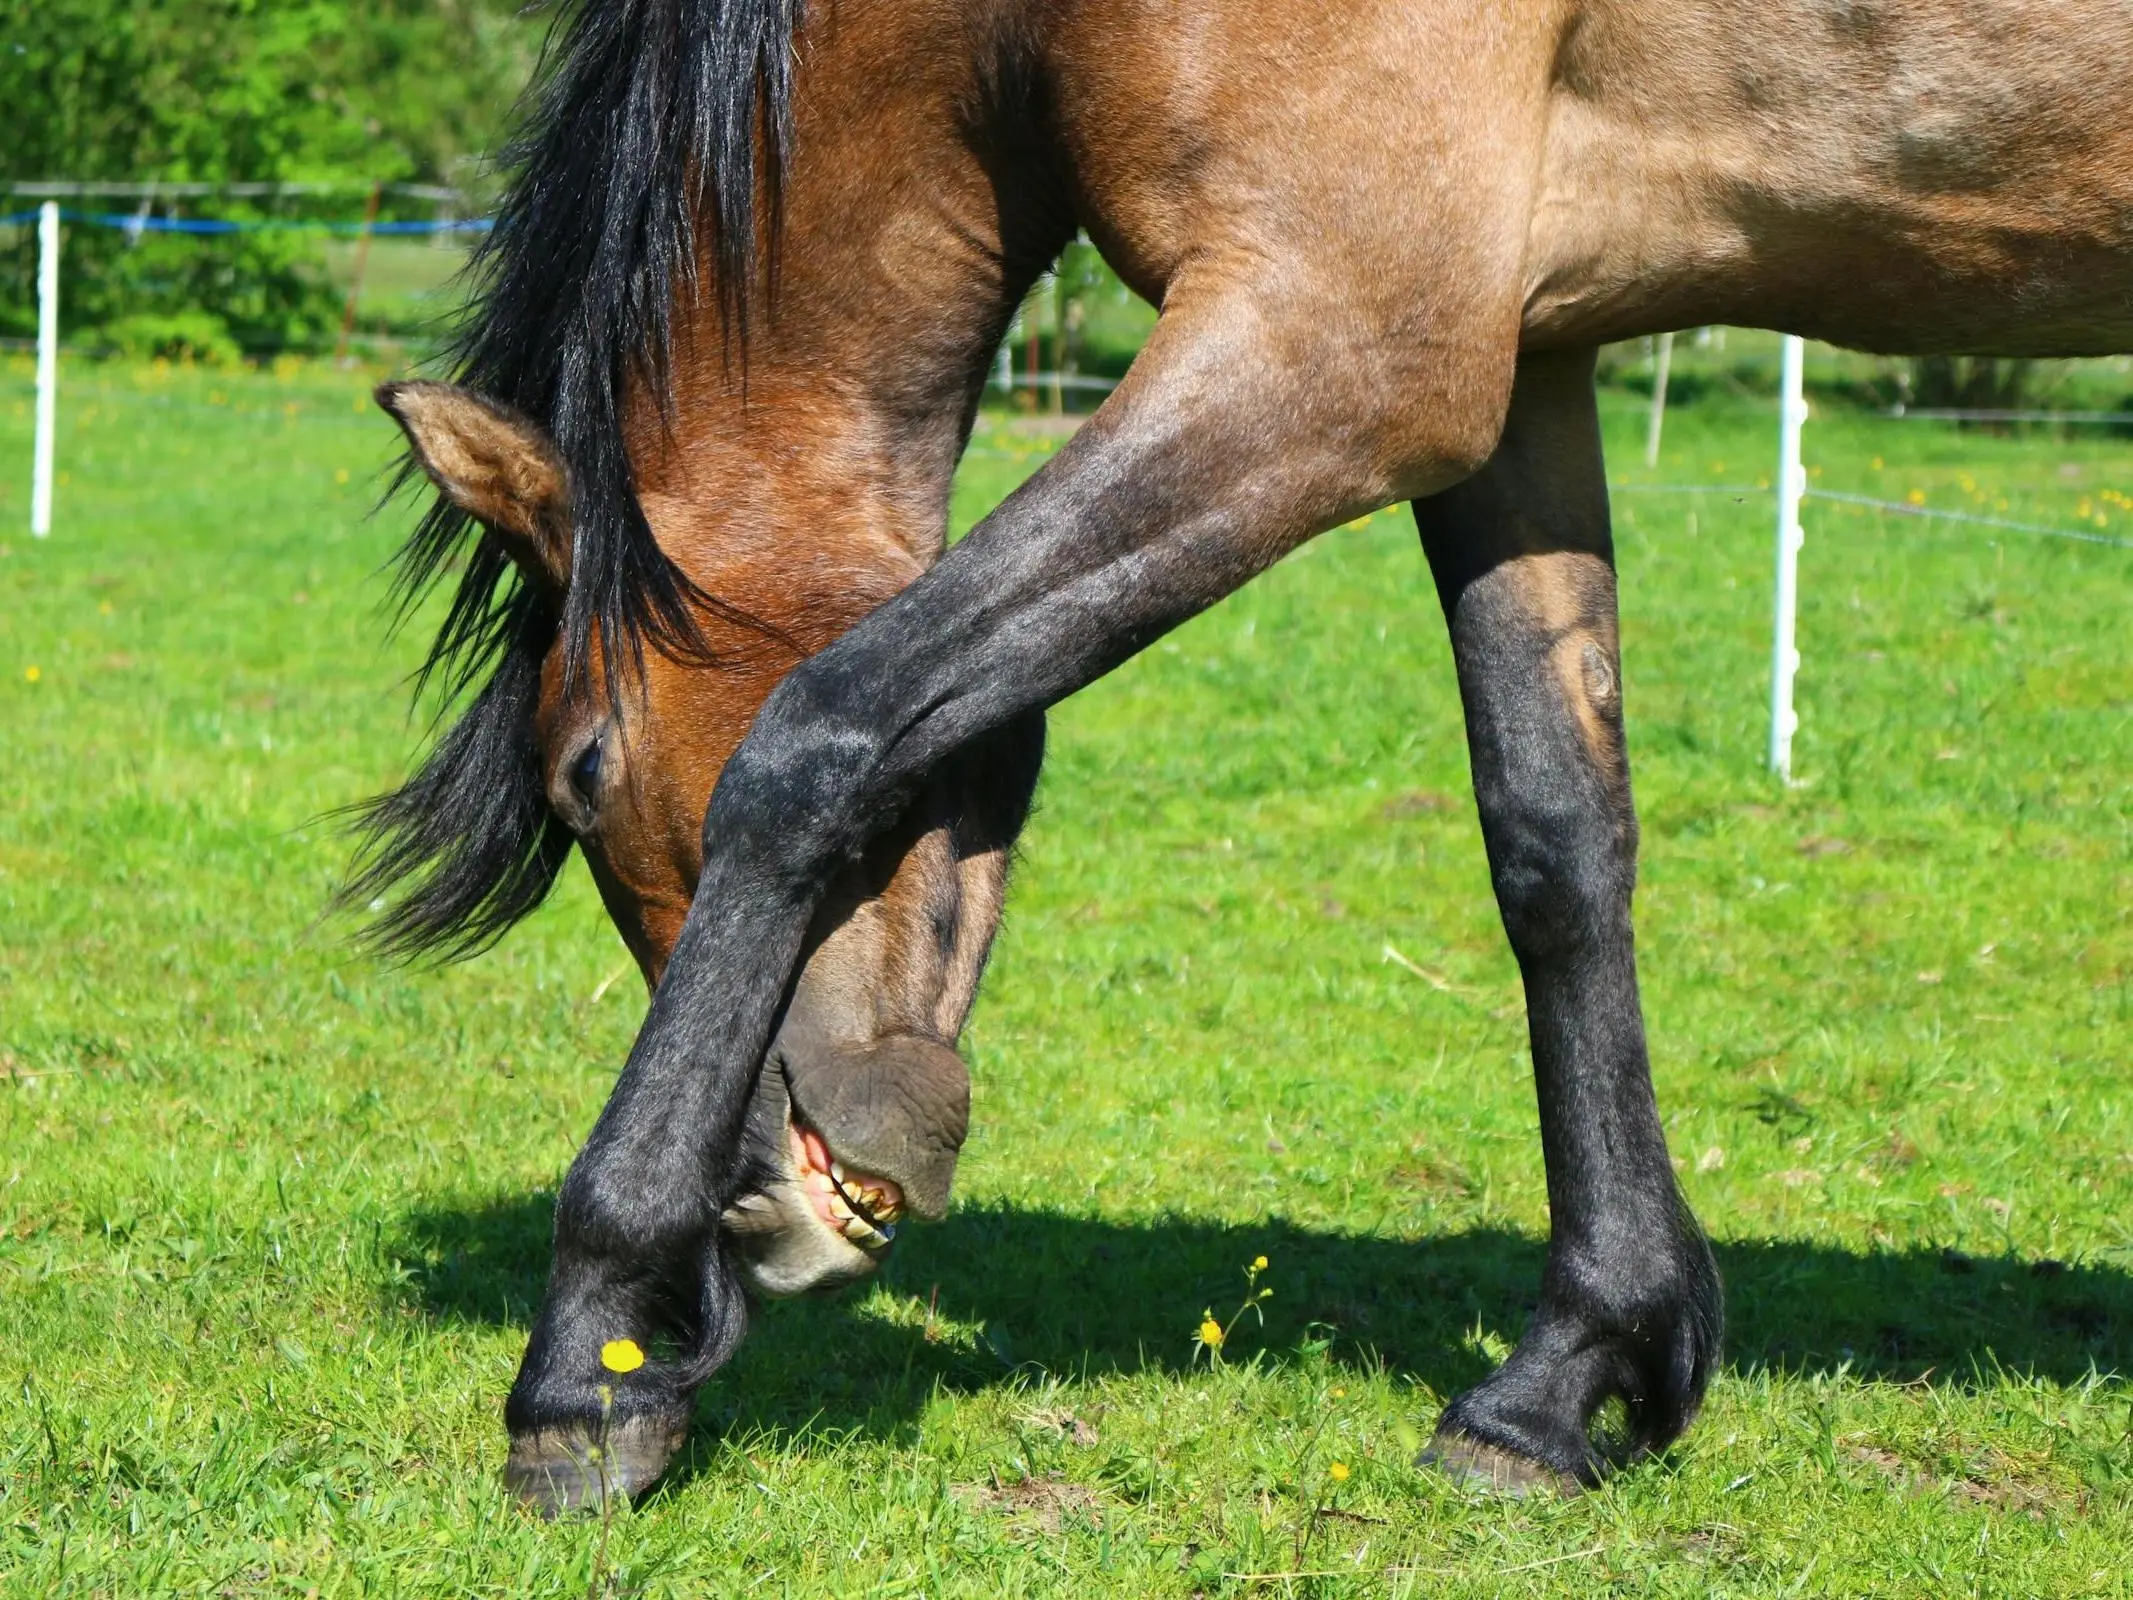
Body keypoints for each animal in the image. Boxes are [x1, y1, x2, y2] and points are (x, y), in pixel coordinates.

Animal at [354, 0, 2133, 1518]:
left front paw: (588, 1360)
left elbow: (819, 737)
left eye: (584, 772)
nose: (756, 1207)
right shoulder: (1518, 364)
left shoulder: (1335, 351)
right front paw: (1572, 1373)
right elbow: (1555, 840)